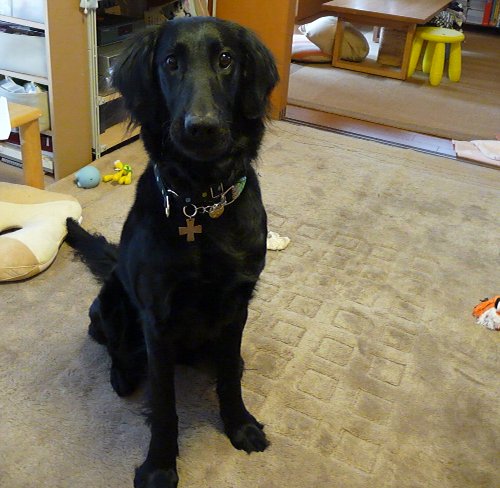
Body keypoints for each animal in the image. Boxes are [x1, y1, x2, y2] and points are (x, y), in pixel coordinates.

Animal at [65, 16, 278, 488]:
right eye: (170, 62)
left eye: (226, 59)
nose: (202, 127)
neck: (201, 203)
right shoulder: (157, 320)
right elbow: (164, 405)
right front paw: (160, 467)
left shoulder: (237, 304)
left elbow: (230, 378)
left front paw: (240, 426)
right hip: (107, 305)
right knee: (111, 347)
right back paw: (122, 373)